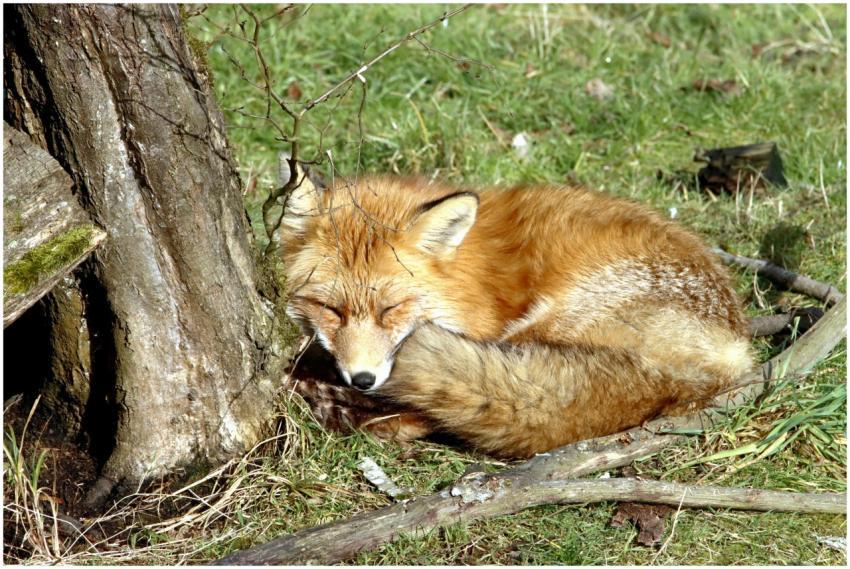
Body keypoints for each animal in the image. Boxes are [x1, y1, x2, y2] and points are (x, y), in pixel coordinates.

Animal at [281, 172, 754, 458]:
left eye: (391, 309)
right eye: (330, 309)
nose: (362, 378)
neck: (466, 275)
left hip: (547, 322)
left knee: (440, 410)